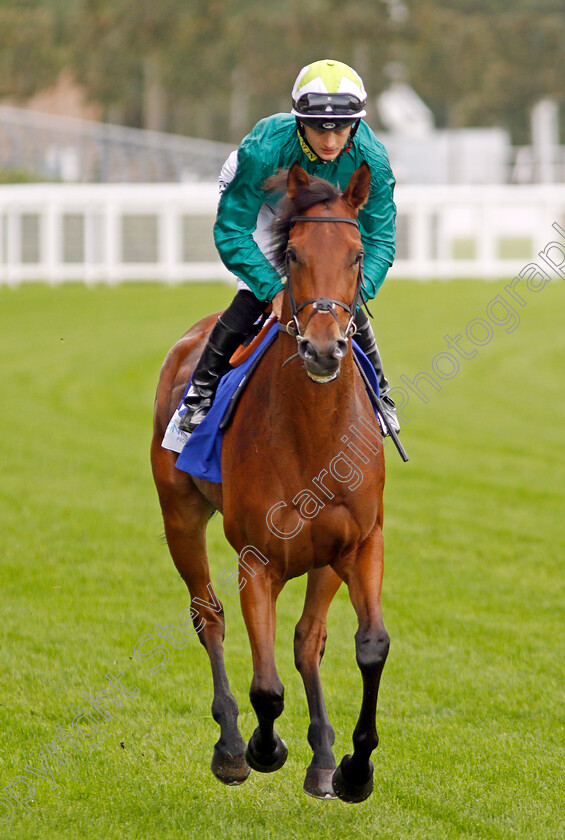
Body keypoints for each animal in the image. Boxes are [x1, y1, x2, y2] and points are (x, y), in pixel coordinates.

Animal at [150, 162, 388, 800]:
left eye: (358, 254)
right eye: (296, 254)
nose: (325, 348)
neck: (315, 437)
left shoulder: (359, 542)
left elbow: (368, 646)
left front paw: (353, 766)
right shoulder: (256, 558)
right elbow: (266, 686)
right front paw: (262, 748)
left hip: (326, 557)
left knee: (308, 640)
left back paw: (323, 756)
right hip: (179, 515)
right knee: (208, 615)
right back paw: (233, 744)